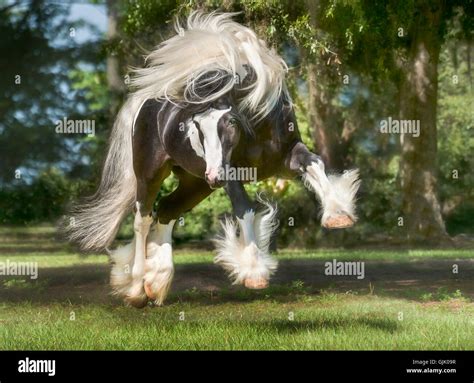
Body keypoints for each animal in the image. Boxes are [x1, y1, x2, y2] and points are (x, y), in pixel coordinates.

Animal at [65, 11, 362, 308]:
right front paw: (254, 271)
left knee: (168, 209)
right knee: (143, 219)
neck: (257, 129)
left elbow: (315, 164)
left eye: (229, 121)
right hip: (151, 175)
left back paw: (157, 282)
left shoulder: (287, 157)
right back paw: (137, 289)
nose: (214, 176)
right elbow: (245, 208)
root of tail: (147, 103)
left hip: (195, 183)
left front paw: (338, 215)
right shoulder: (233, 173)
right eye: (196, 124)